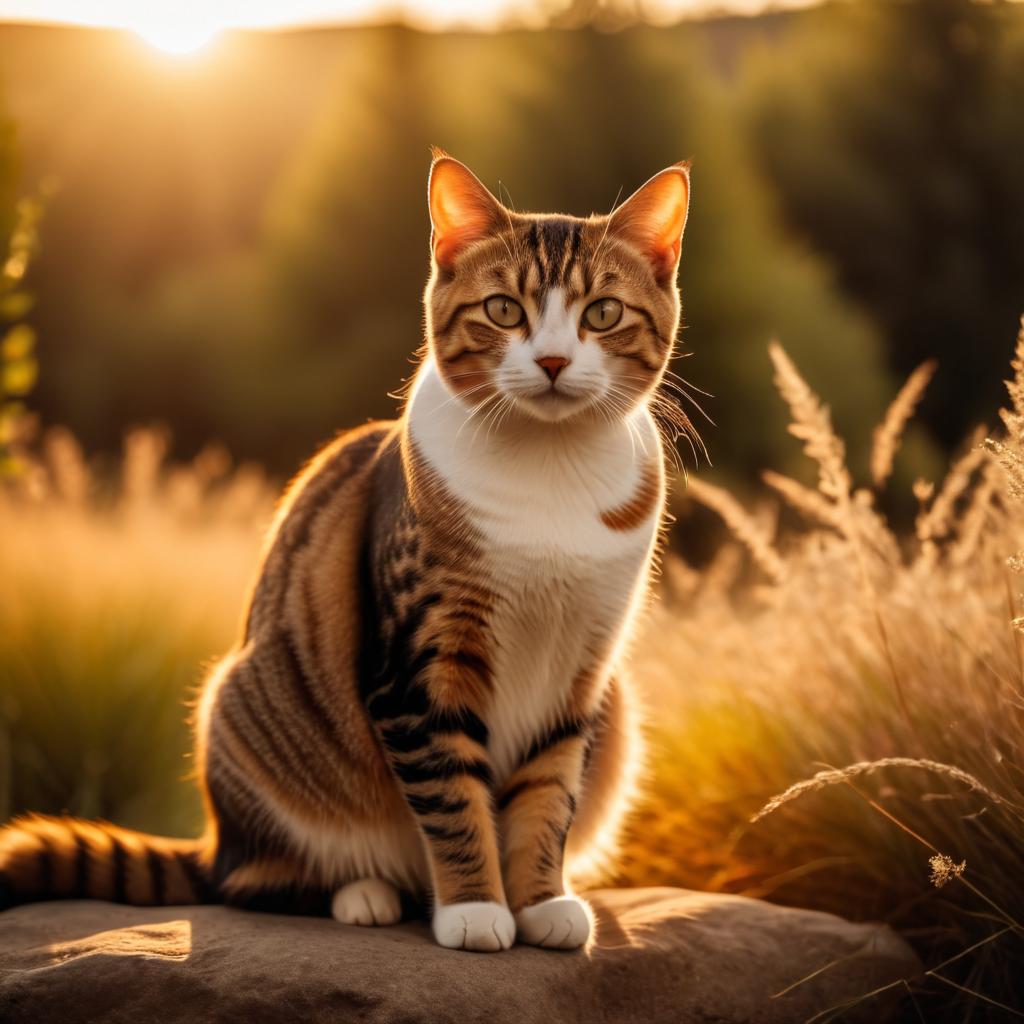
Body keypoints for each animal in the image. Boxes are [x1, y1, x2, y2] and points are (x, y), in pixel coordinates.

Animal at [0, 149, 692, 950]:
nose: (551, 361)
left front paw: (541, 900)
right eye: (503, 310)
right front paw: (475, 909)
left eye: (602, 313)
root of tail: (215, 842)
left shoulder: (582, 668)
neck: (551, 472)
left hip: (618, 705)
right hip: (243, 713)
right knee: (257, 881)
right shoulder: (419, 664)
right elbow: (452, 797)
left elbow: (549, 794)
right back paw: (365, 893)